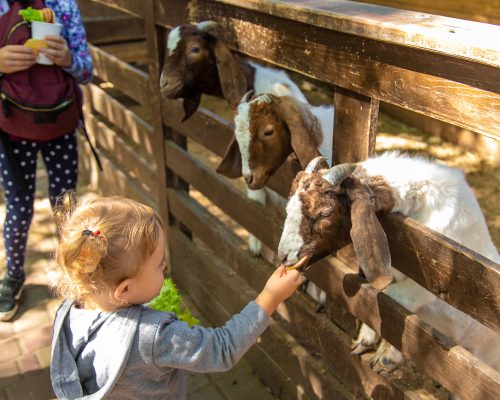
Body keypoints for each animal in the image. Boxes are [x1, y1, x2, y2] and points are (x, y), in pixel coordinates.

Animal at [278, 152, 500, 376]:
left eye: (325, 213)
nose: (284, 256)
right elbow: (378, 298)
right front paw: (366, 339)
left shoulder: (438, 282)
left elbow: (393, 301)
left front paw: (386, 357)